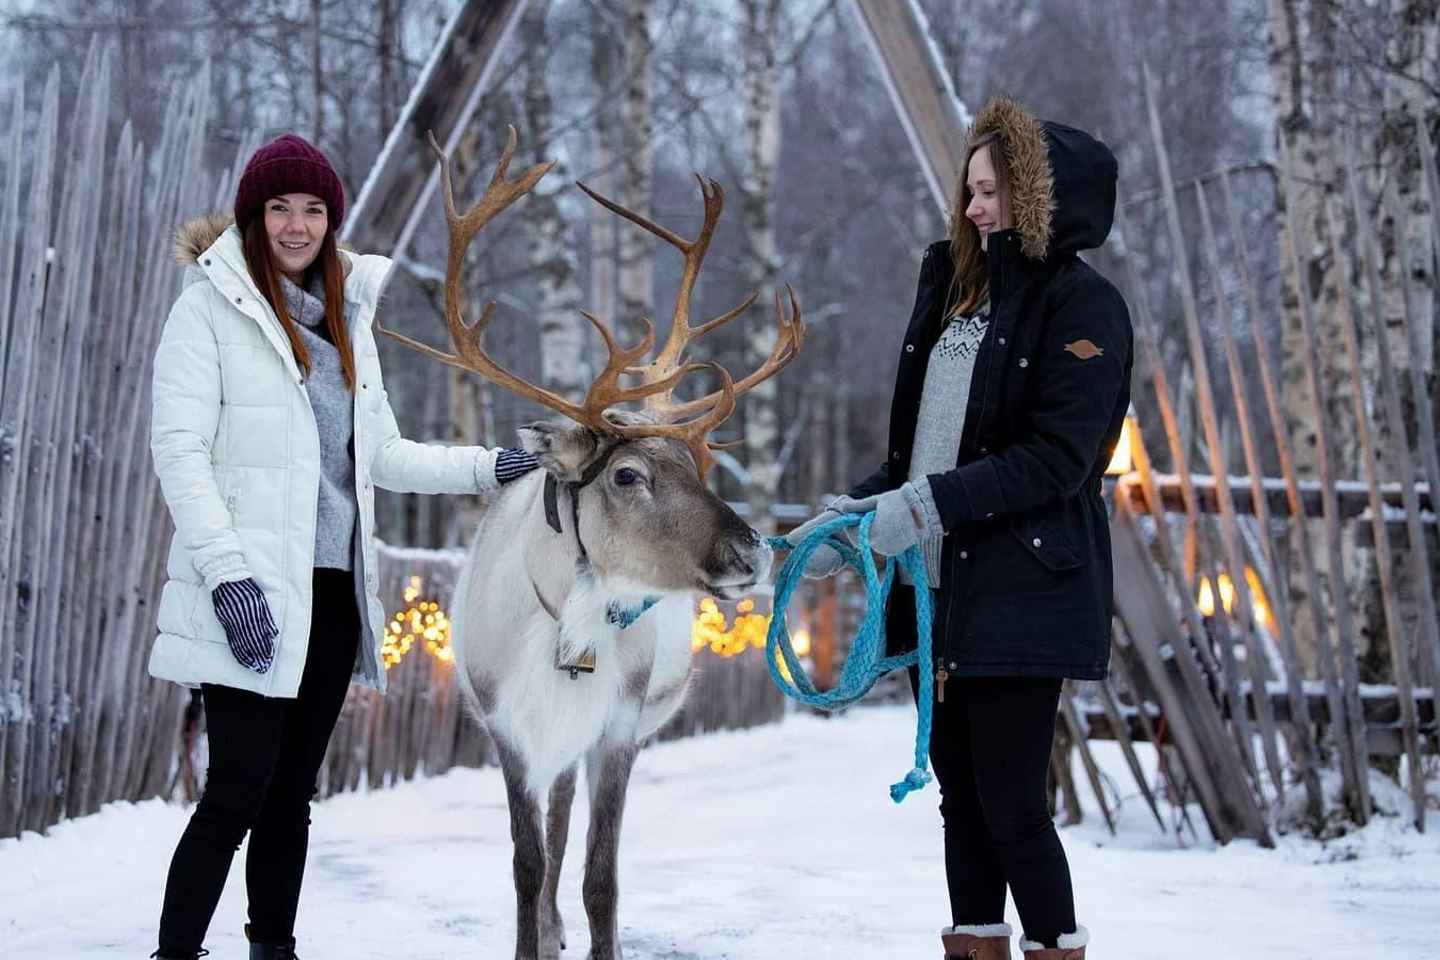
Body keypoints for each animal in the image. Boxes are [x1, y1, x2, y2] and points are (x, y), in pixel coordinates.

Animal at [377, 129, 804, 960]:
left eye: (699, 468)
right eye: (628, 475)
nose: (754, 551)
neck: (566, 631)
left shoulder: (619, 728)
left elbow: (600, 874)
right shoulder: (507, 727)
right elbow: (525, 862)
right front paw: (529, 939)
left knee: (567, 818)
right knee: (551, 828)